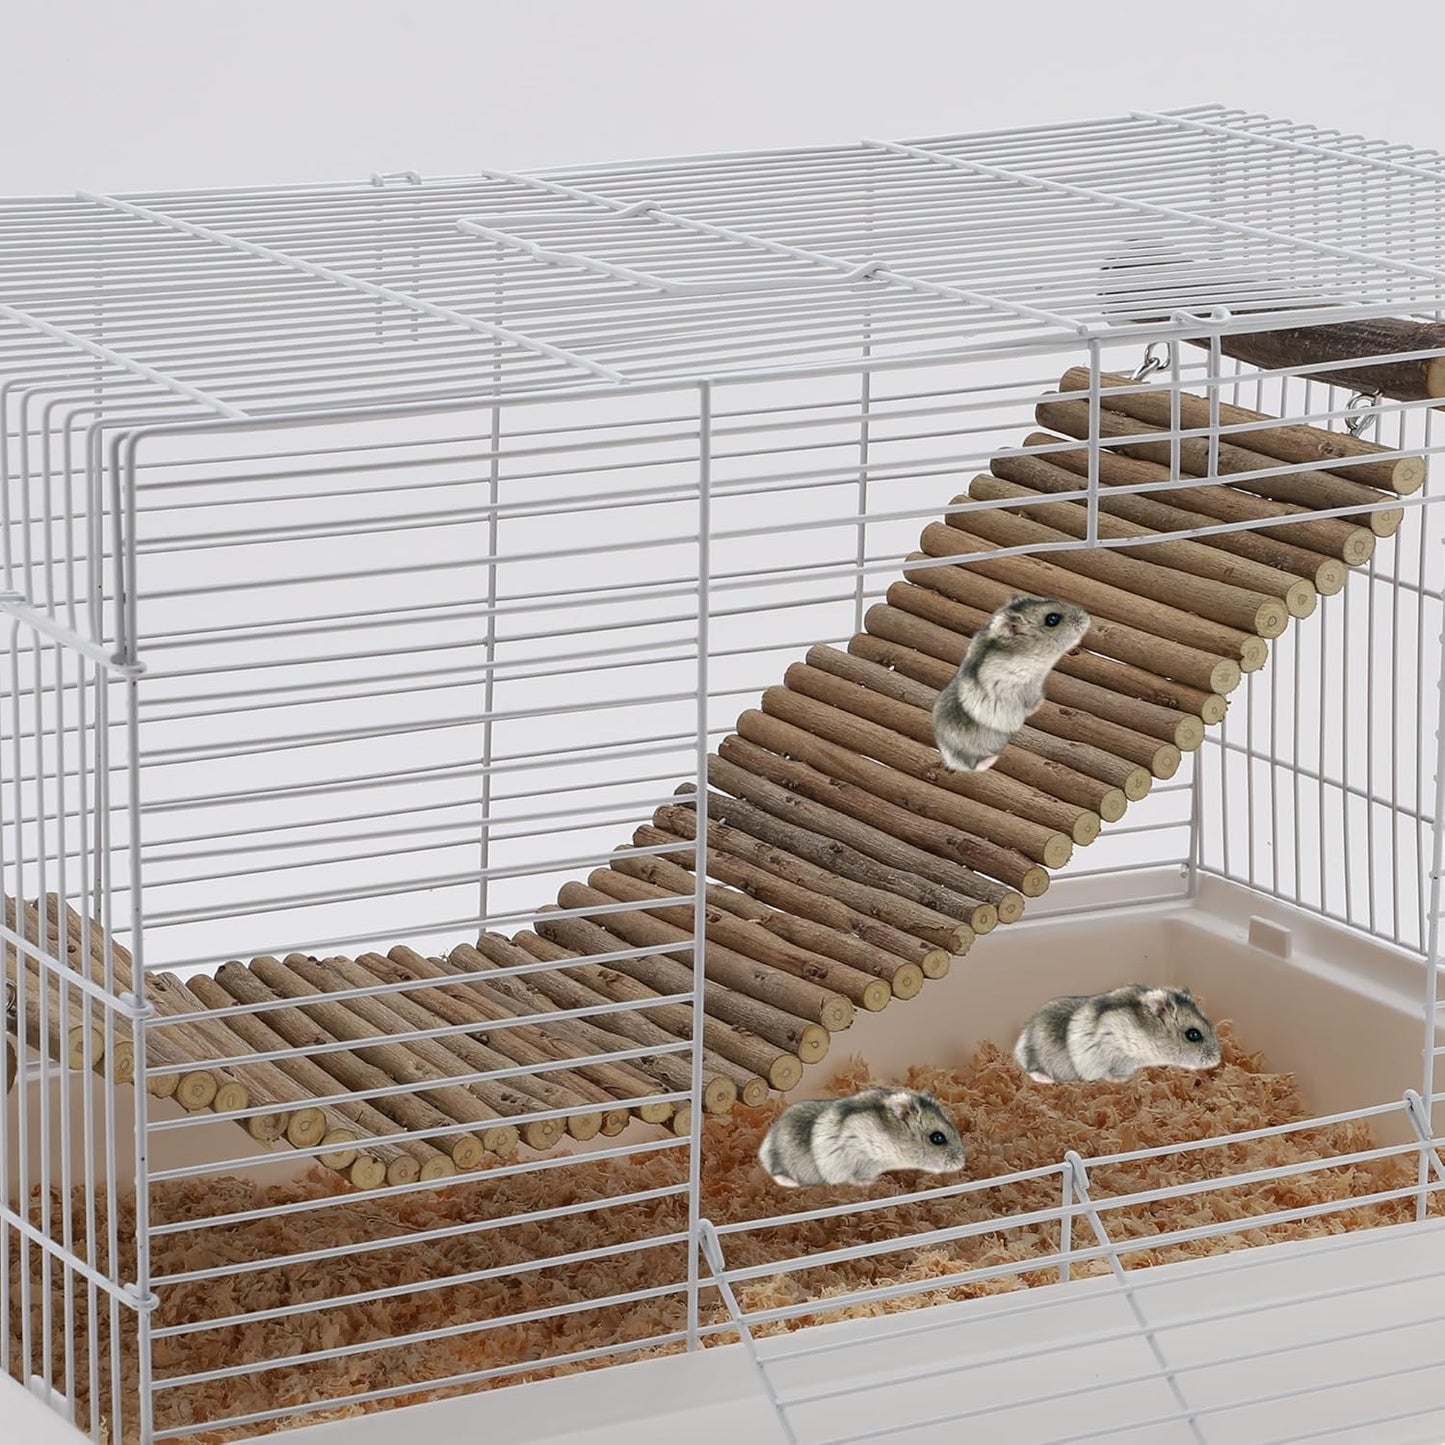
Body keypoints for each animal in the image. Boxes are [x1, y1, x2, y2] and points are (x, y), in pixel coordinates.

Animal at [932, 595, 1091, 772]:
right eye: (1052, 619)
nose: (1087, 617)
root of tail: (948, 755)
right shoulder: (1020, 685)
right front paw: (1040, 703)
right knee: (974, 765)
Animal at [1014, 984, 1223, 1084]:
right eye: (1193, 1035)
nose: (1218, 1059)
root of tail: (1019, 1043)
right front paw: (1123, 1079)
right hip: (1038, 1055)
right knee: (1031, 1069)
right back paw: (1047, 1080)